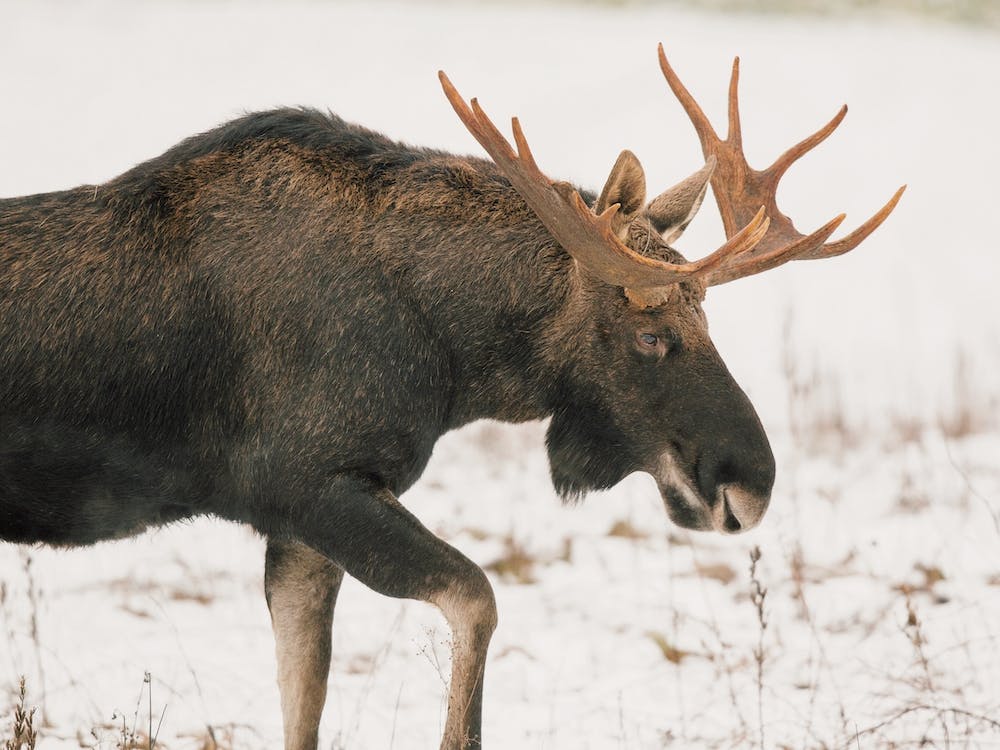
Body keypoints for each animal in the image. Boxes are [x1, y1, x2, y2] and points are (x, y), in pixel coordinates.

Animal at [0, 44, 902, 749]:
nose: (752, 482)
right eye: (650, 334)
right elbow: (477, 601)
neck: (452, 357)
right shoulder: (312, 486)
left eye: (706, 314)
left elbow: (304, 706)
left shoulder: (297, 526)